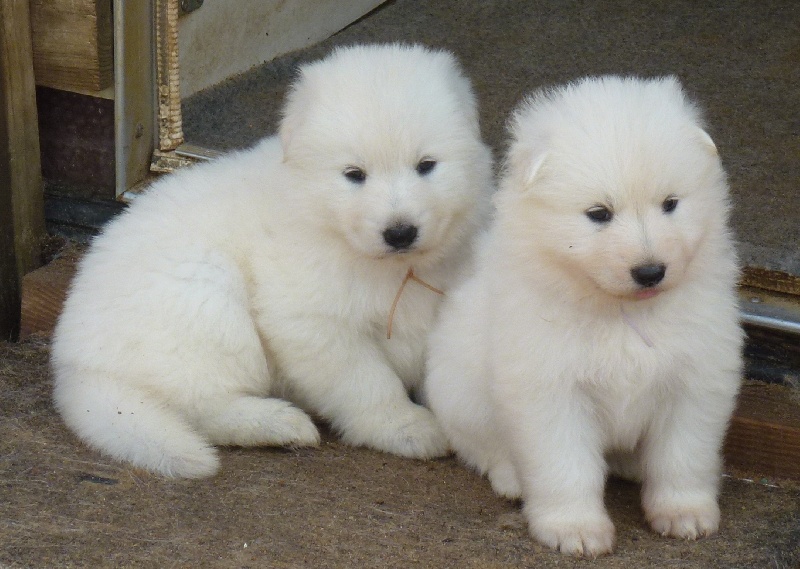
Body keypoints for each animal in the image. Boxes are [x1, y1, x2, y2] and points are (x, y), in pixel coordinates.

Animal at [51, 44, 494, 478]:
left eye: (426, 165)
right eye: (354, 174)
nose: (400, 233)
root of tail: (75, 366)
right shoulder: (314, 322)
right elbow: (366, 381)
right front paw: (406, 427)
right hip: (208, 303)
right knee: (202, 404)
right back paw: (278, 423)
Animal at [424, 75, 744, 556]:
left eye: (670, 204)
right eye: (599, 214)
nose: (650, 271)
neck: (622, 312)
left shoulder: (695, 379)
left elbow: (682, 455)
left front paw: (683, 512)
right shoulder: (550, 389)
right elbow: (565, 466)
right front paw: (574, 528)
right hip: (460, 392)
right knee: (484, 447)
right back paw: (512, 478)